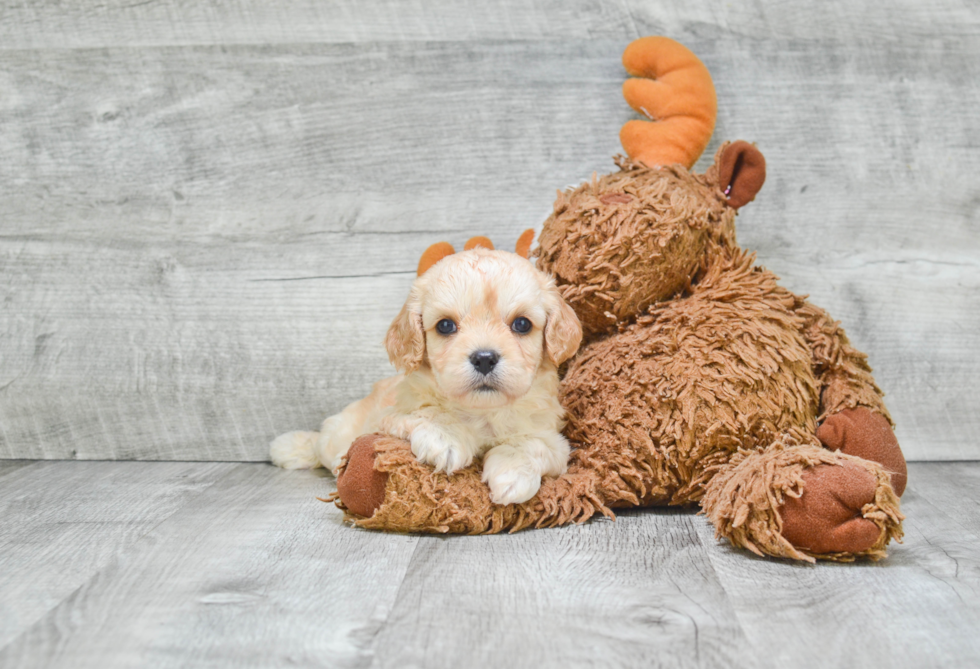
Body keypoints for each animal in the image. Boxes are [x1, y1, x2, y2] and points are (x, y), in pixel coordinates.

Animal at [268, 240, 580, 500]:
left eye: (522, 324)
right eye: (445, 325)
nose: (484, 358)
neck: (482, 413)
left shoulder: (557, 443)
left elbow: (532, 443)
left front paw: (512, 475)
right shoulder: (388, 417)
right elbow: (428, 412)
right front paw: (446, 438)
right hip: (339, 431)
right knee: (321, 445)